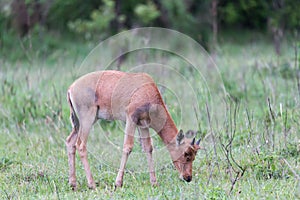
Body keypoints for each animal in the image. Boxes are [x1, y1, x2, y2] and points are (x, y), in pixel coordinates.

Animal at [66, 70, 202, 189]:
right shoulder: (131, 118)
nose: (188, 178)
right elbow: (128, 147)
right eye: (186, 154)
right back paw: (92, 184)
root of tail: (71, 88)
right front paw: (118, 183)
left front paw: (154, 183)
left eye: (194, 156)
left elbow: (148, 148)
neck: (146, 89)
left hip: (80, 123)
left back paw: (73, 184)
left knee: (70, 142)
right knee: (81, 145)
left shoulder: (143, 124)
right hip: (87, 119)